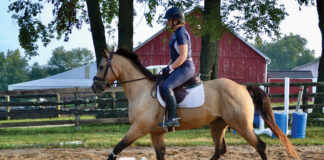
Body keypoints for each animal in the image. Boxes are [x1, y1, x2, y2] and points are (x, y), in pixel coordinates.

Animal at [91, 48, 298, 160]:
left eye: (101, 66)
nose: (95, 87)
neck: (141, 89)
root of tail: (242, 87)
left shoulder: (139, 128)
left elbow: (116, 149)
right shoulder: (155, 133)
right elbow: (160, 154)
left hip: (242, 125)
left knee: (260, 146)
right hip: (218, 124)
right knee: (220, 150)